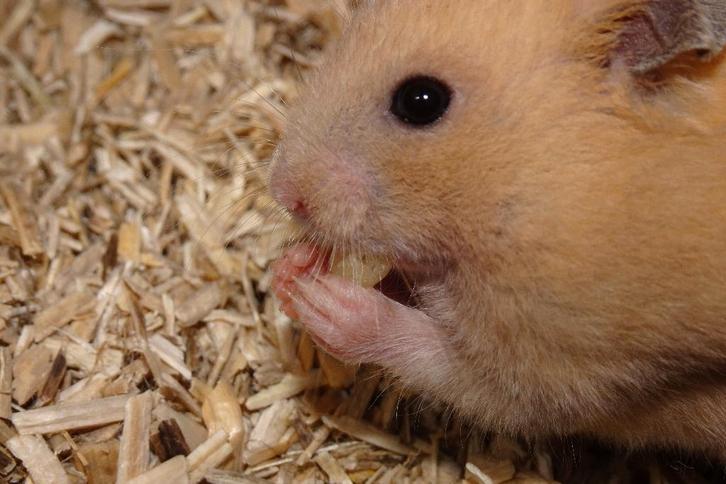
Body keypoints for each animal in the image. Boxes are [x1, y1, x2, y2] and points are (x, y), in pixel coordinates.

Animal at [269, 0, 726, 458]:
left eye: (421, 100)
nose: (282, 190)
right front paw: (291, 268)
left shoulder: (565, 363)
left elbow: (439, 360)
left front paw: (322, 300)